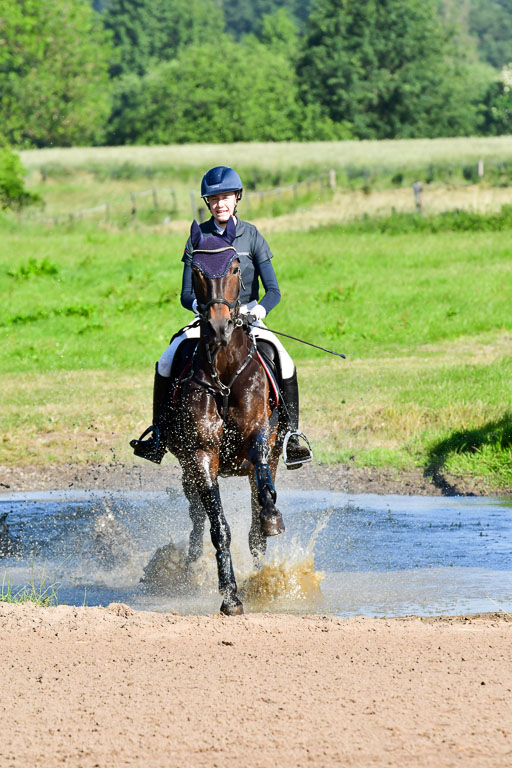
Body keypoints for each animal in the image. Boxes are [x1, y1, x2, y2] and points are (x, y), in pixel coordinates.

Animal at [164, 219, 284, 616]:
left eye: (234, 267)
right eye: (198, 270)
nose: (218, 327)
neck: (224, 372)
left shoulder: (258, 435)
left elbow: (262, 480)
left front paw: (271, 517)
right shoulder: (202, 456)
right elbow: (219, 527)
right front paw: (230, 595)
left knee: (256, 523)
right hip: (187, 466)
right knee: (197, 517)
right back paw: (189, 567)